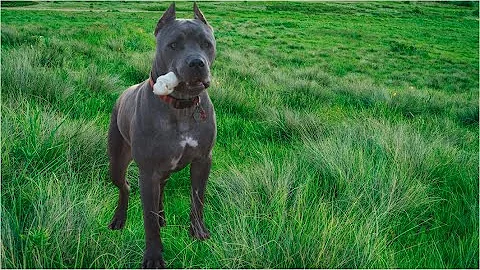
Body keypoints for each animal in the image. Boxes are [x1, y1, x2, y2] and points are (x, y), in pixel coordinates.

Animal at [108, 2, 217, 268]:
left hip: (163, 171)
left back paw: (161, 216)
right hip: (117, 162)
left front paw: (198, 232)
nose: (197, 63)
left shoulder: (203, 161)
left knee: (160, 191)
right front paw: (153, 256)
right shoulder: (148, 172)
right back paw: (120, 218)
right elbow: (147, 220)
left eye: (206, 44)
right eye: (174, 45)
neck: (182, 106)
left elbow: (197, 199)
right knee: (125, 187)